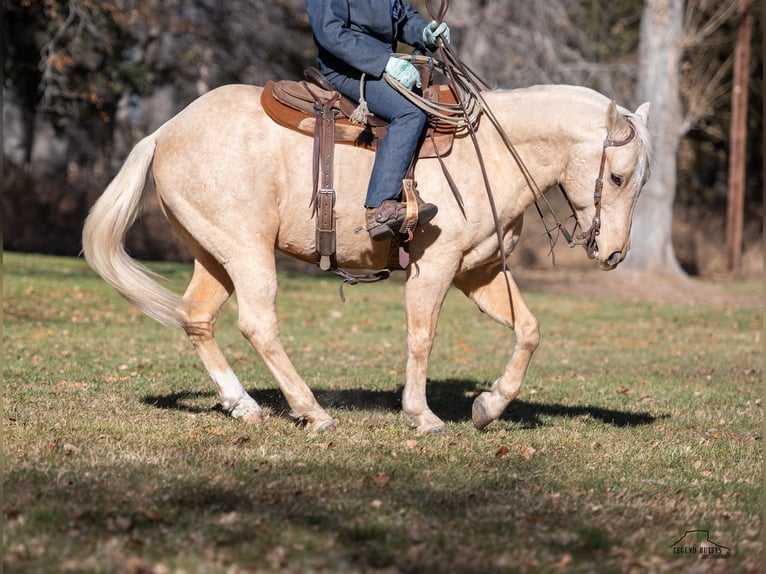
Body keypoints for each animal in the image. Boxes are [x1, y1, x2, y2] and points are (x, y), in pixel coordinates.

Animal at [84, 80, 652, 432]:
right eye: (617, 176)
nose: (614, 253)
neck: (489, 152)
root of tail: (165, 131)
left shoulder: (480, 272)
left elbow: (528, 331)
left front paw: (489, 407)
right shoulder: (434, 268)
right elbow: (422, 337)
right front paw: (422, 416)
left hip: (213, 255)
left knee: (198, 319)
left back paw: (244, 405)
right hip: (247, 253)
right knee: (258, 324)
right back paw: (311, 410)